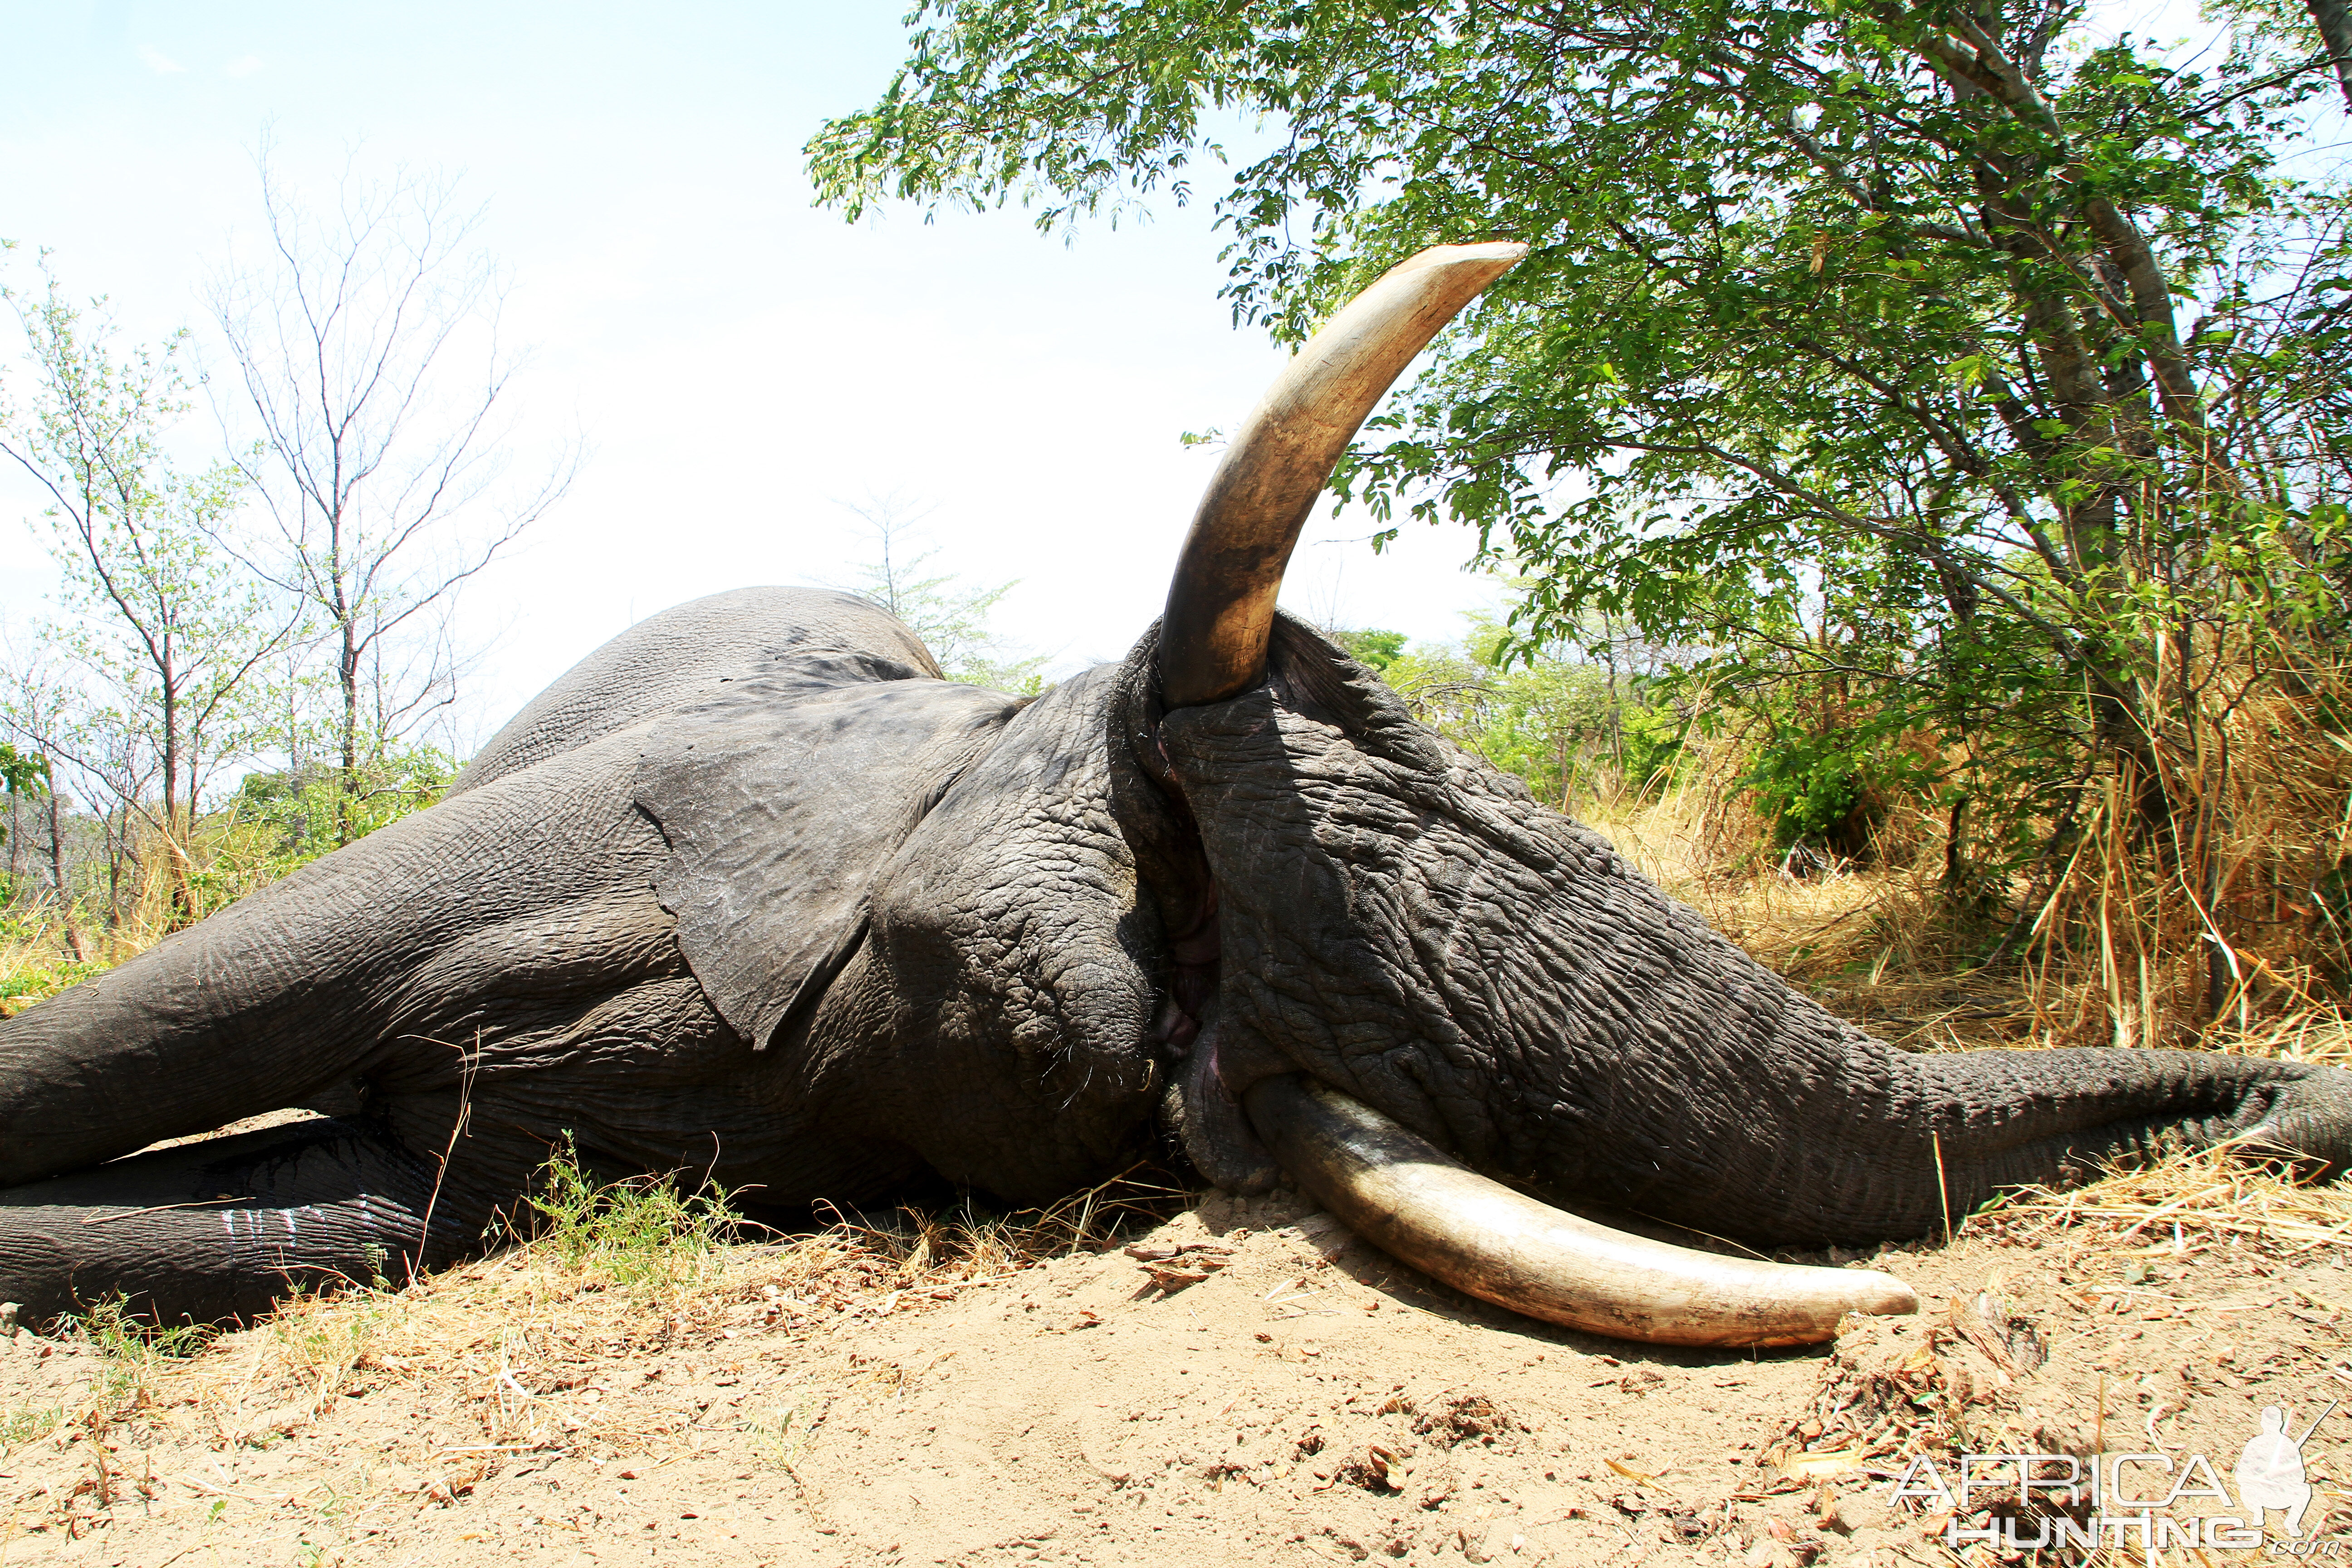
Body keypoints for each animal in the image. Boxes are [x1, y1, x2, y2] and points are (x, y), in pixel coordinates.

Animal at [5, 245, 2352, 1354]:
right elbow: (163, 1024)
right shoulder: (650, 801)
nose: (2291, 1100)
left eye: (1104, 1055)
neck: (943, 748)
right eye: (1145, 816)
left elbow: (339, 1218)